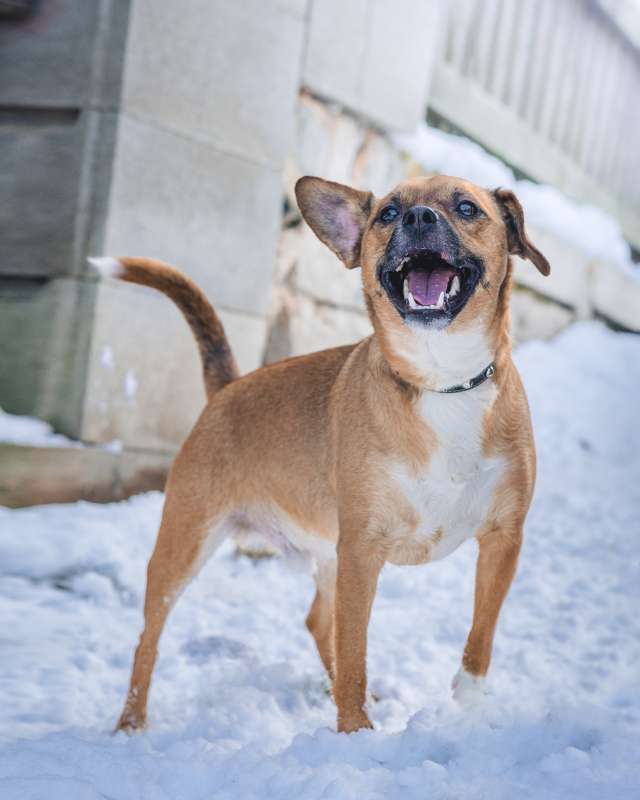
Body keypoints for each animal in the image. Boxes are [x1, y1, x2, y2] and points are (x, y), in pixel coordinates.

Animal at [91, 173, 549, 734]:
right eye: (388, 213)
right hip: (184, 545)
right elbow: (353, 652)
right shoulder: (362, 552)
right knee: (148, 640)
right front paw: (355, 733)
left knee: (316, 621)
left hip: (323, 557)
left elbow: (481, 634)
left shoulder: (503, 538)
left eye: (467, 208)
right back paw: (131, 723)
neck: (442, 381)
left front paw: (469, 706)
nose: (418, 217)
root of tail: (230, 385)